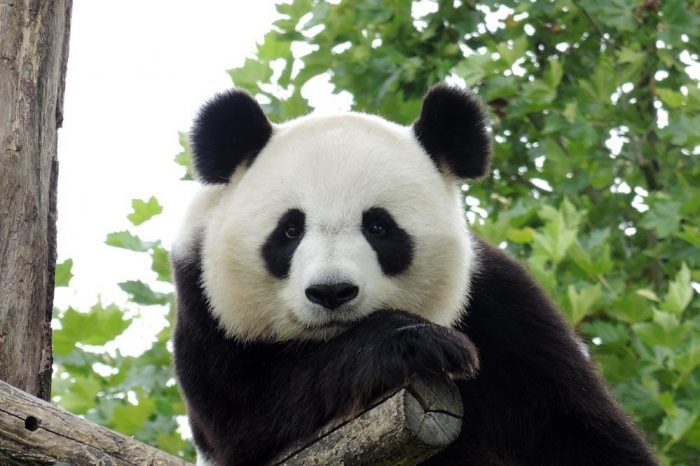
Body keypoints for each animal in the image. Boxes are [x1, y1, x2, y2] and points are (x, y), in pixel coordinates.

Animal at [172, 84, 660, 466]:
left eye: (378, 227)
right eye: (290, 230)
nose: (332, 292)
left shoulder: (506, 315)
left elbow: (576, 429)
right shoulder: (205, 308)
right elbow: (251, 411)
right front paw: (416, 343)